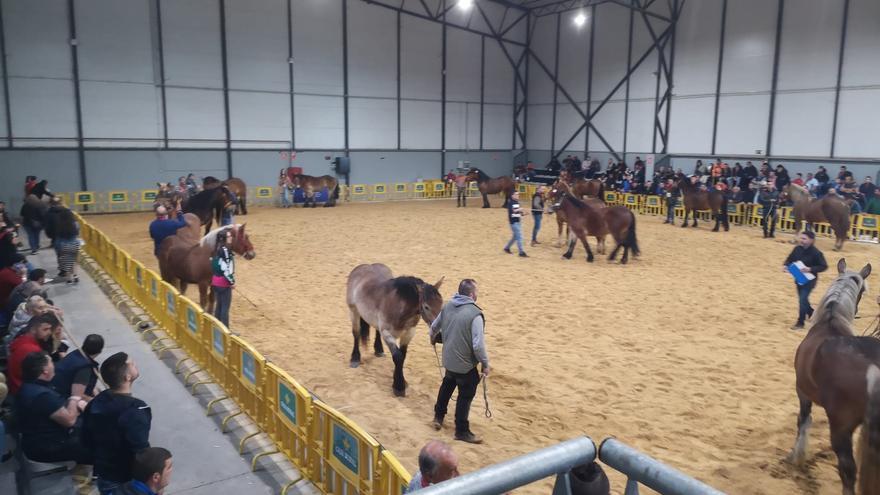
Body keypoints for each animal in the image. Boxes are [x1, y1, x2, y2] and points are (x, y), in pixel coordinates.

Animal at [342, 264, 440, 400]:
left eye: (442, 304)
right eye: (426, 306)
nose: (439, 335)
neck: (399, 306)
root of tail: (363, 266)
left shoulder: (409, 333)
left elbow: (402, 356)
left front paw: (402, 381)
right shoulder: (388, 334)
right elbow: (398, 357)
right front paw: (399, 387)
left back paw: (379, 350)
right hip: (354, 311)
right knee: (356, 334)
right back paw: (355, 358)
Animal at [792, 260, 880, 495]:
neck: (829, 321)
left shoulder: (802, 392)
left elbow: (803, 421)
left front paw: (795, 457)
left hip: (841, 428)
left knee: (847, 470)